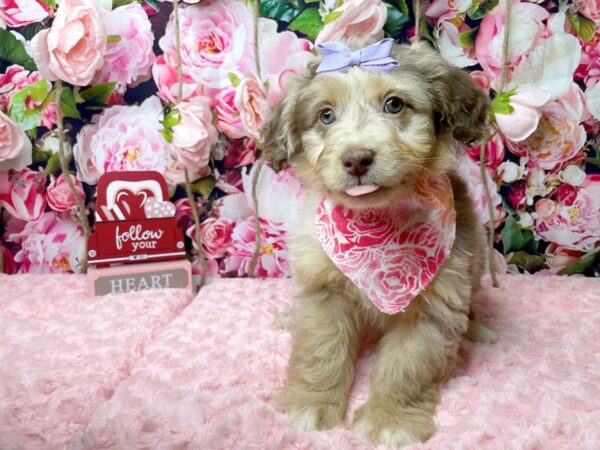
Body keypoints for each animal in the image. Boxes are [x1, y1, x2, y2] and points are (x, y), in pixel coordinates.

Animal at [262, 40, 492, 448]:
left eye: (394, 104)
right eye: (325, 115)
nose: (357, 158)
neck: (374, 227)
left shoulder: (434, 305)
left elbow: (407, 366)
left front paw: (390, 417)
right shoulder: (322, 292)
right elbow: (320, 349)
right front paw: (311, 401)